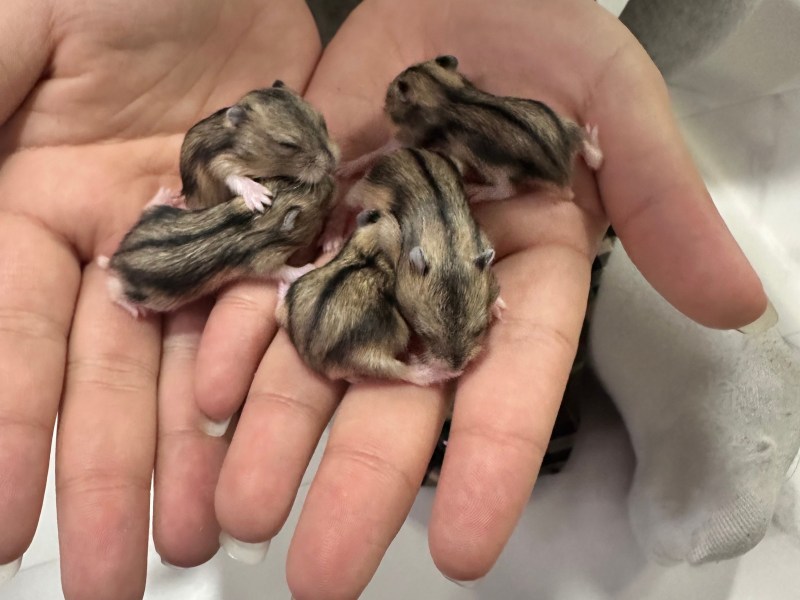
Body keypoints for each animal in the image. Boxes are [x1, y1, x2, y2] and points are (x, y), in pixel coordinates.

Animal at [99, 176, 335, 318]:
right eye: (322, 202)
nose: (331, 181)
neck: (255, 220)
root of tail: (118, 255)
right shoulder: (262, 263)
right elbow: (284, 271)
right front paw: (309, 267)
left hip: (151, 215)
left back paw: (166, 194)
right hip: (145, 295)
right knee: (113, 290)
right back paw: (136, 311)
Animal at [180, 80, 340, 212]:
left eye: (323, 122)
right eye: (286, 144)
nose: (331, 166)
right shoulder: (217, 161)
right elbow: (232, 176)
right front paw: (263, 199)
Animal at [276, 210, 445, 385]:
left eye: (373, 216)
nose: (374, 211)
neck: (367, 248)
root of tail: (312, 360)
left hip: (287, 305)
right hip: (382, 351)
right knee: (405, 373)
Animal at [341, 56, 602, 203]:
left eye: (391, 92)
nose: (384, 106)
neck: (440, 88)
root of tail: (564, 176)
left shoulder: (407, 139)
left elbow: (373, 153)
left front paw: (344, 168)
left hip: (491, 165)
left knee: (507, 190)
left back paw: (476, 192)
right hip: (566, 124)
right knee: (594, 156)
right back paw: (593, 132)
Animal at [344, 148, 502, 379]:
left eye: (479, 330)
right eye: (424, 333)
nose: (457, 368)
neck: (448, 249)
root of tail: (406, 150)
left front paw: (499, 307)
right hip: (361, 189)